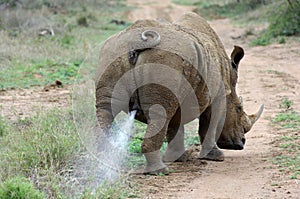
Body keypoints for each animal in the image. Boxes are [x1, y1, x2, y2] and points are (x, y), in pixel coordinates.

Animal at [95, 12, 264, 174]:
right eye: (239, 109)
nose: (241, 143)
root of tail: (135, 42)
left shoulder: (180, 92)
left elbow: (175, 125)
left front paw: (179, 158)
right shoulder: (218, 96)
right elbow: (208, 124)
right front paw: (216, 157)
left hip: (113, 53)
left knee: (106, 108)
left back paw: (101, 160)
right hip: (164, 60)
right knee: (160, 115)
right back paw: (159, 171)